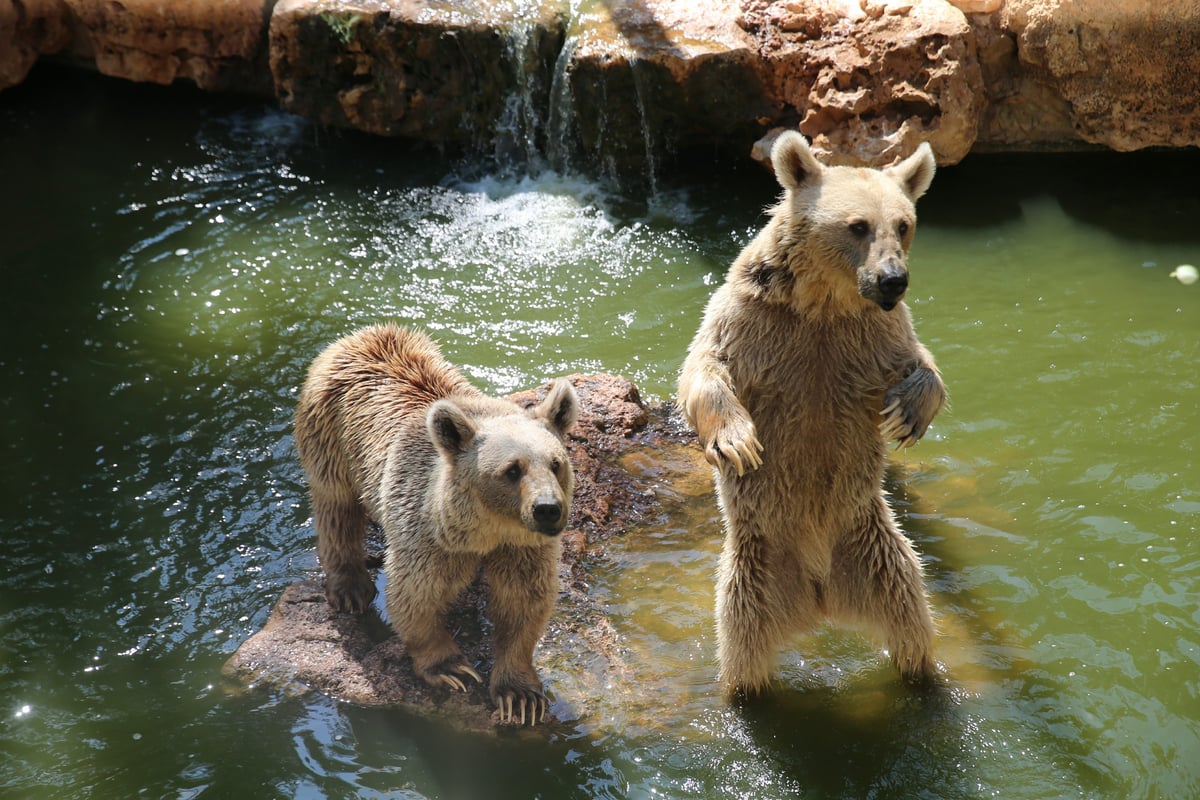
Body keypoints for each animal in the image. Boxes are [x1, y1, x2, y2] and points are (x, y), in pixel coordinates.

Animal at [292, 326, 578, 724]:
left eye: (555, 463)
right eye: (512, 470)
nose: (548, 509)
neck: (486, 529)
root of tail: (362, 335)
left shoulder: (521, 546)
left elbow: (523, 600)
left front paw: (519, 694)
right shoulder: (429, 535)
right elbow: (416, 594)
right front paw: (451, 668)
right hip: (330, 437)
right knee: (336, 507)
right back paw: (350, 588)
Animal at [686, 131, 945, 695]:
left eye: (903, 224)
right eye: (858, 225)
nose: (893, 279)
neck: (823, 302)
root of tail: (821, 595)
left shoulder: (873, 336)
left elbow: (923, 364)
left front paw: (906, 414)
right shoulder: (754, 321)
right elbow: (705, 368)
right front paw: (737, 441)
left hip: (879, 551)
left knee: (913, 620)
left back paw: (922, 677)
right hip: (754, 573)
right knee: (742, 647)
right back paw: (746, 690)